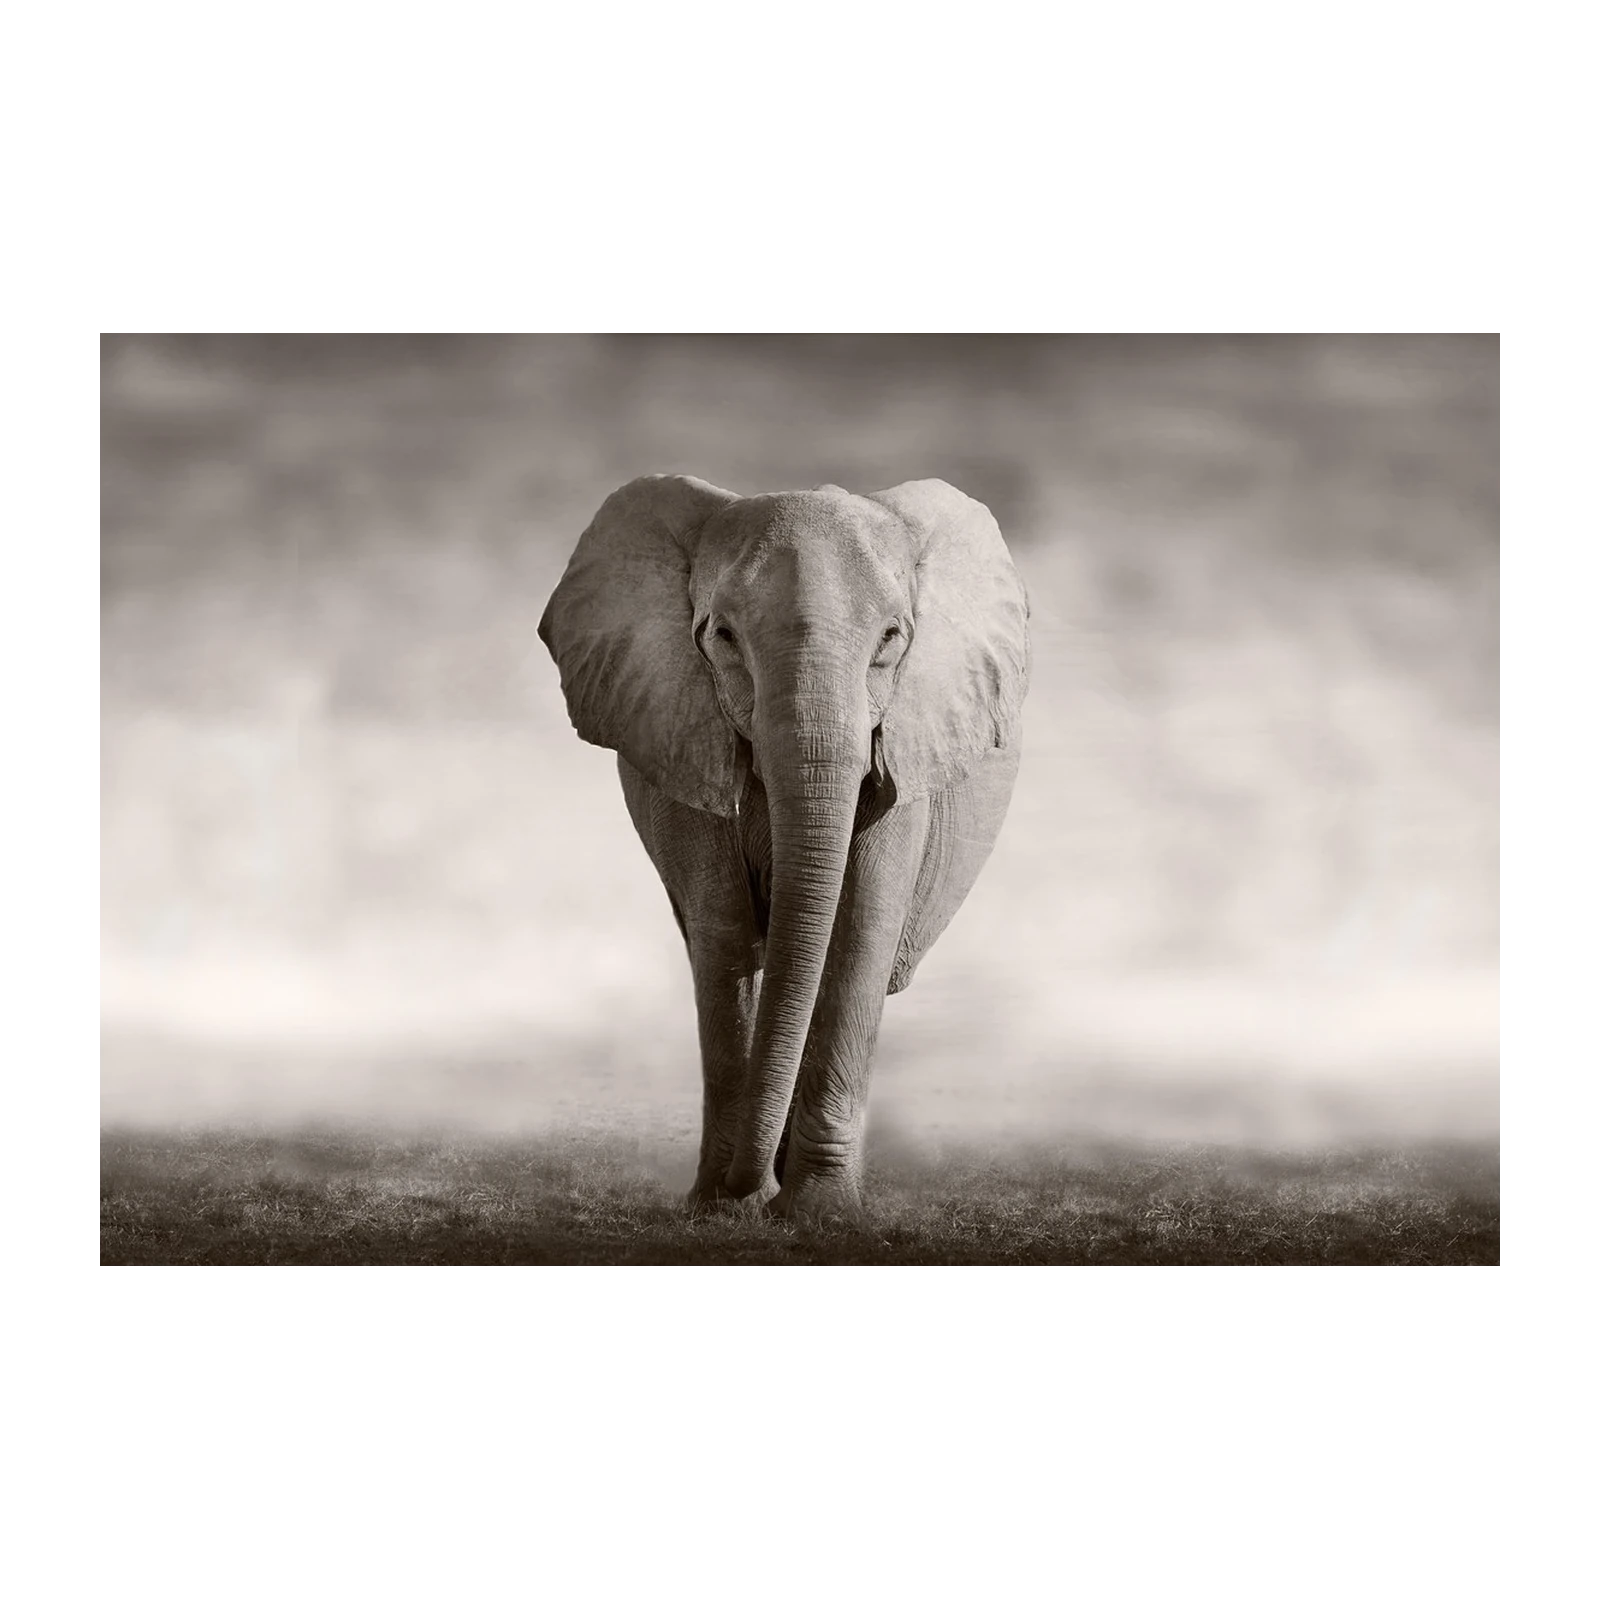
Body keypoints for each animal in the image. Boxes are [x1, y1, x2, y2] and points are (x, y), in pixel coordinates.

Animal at [539, 474, 1030, 1221]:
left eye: (891, 638)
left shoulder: (905, 748)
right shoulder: (683, 739)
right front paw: (724, 1207)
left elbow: (858, 932)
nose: (751, 1192)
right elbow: (724, 932)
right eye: (723, 636)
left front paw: (819, 1213)